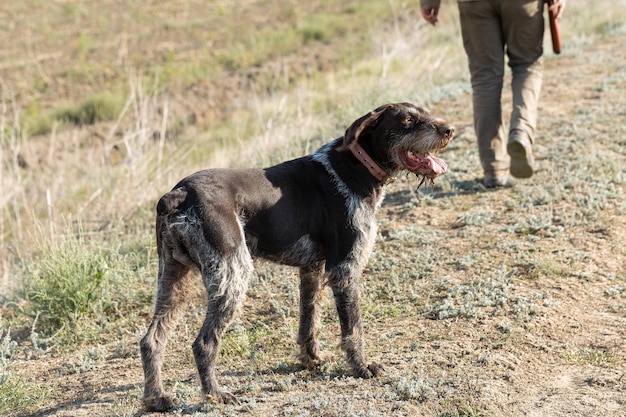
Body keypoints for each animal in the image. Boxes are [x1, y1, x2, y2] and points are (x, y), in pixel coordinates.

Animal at [140, 101, 454, 410]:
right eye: (407, 120)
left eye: (425, 113)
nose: (449, 129)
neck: (355, 168)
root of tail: (180, 193)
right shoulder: (345, 269)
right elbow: (353, 327)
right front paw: (361, 367)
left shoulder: (313, 268)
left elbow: (309, 319)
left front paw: (312, 359)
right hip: (232, 274)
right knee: (203, 343)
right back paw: (215, 395)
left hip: (173, 277)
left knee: (150, 340)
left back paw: (157, 398)